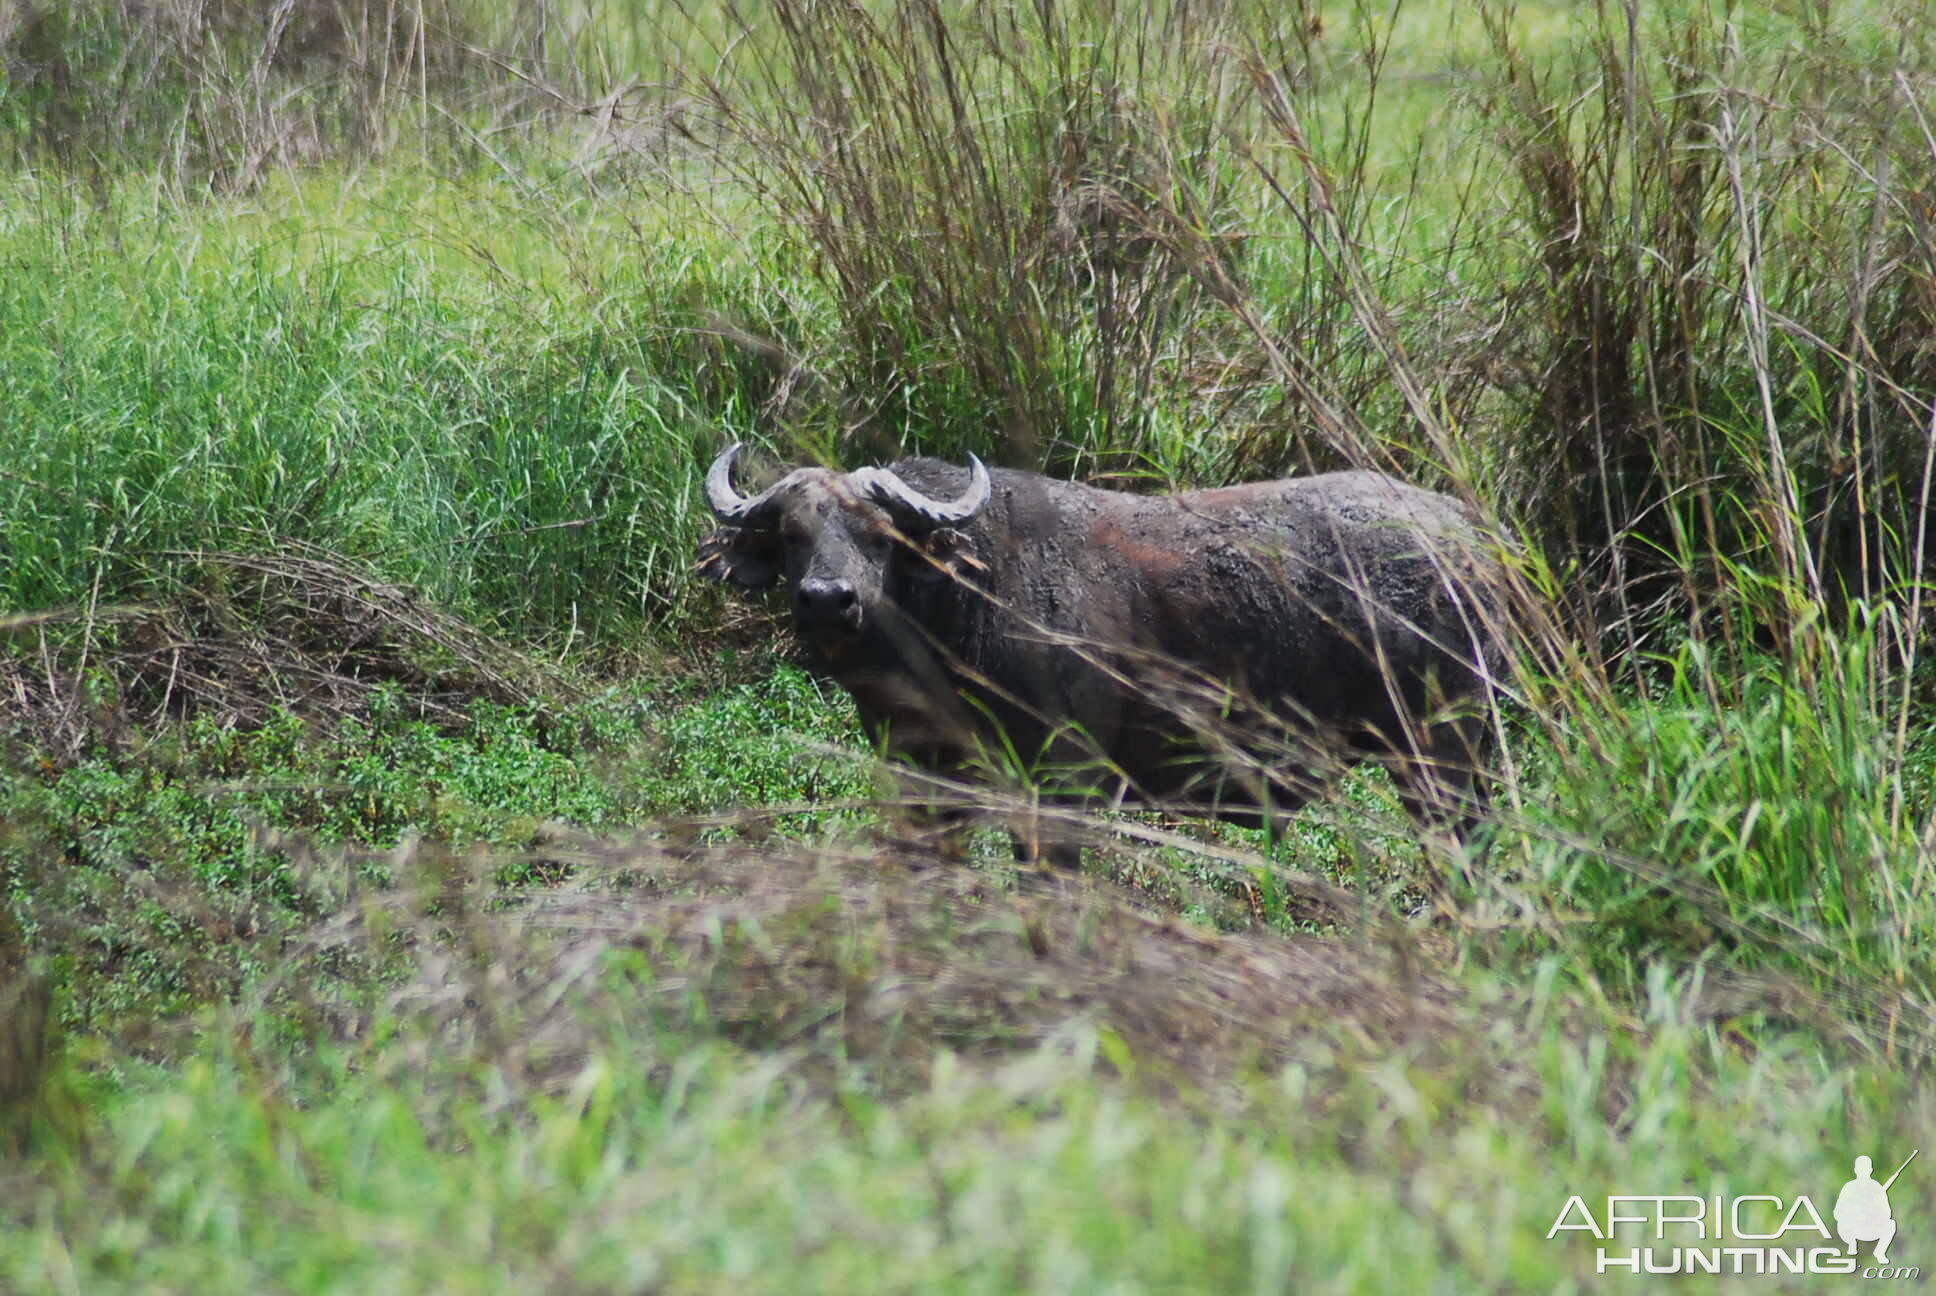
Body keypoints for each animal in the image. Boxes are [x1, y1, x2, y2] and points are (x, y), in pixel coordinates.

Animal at [696, 447, 1510, 867]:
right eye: (792, 534)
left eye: (879, 535)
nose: (826, 600)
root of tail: (1470, 534)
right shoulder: (924, 777)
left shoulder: (1066, 782)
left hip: (1440, 756)